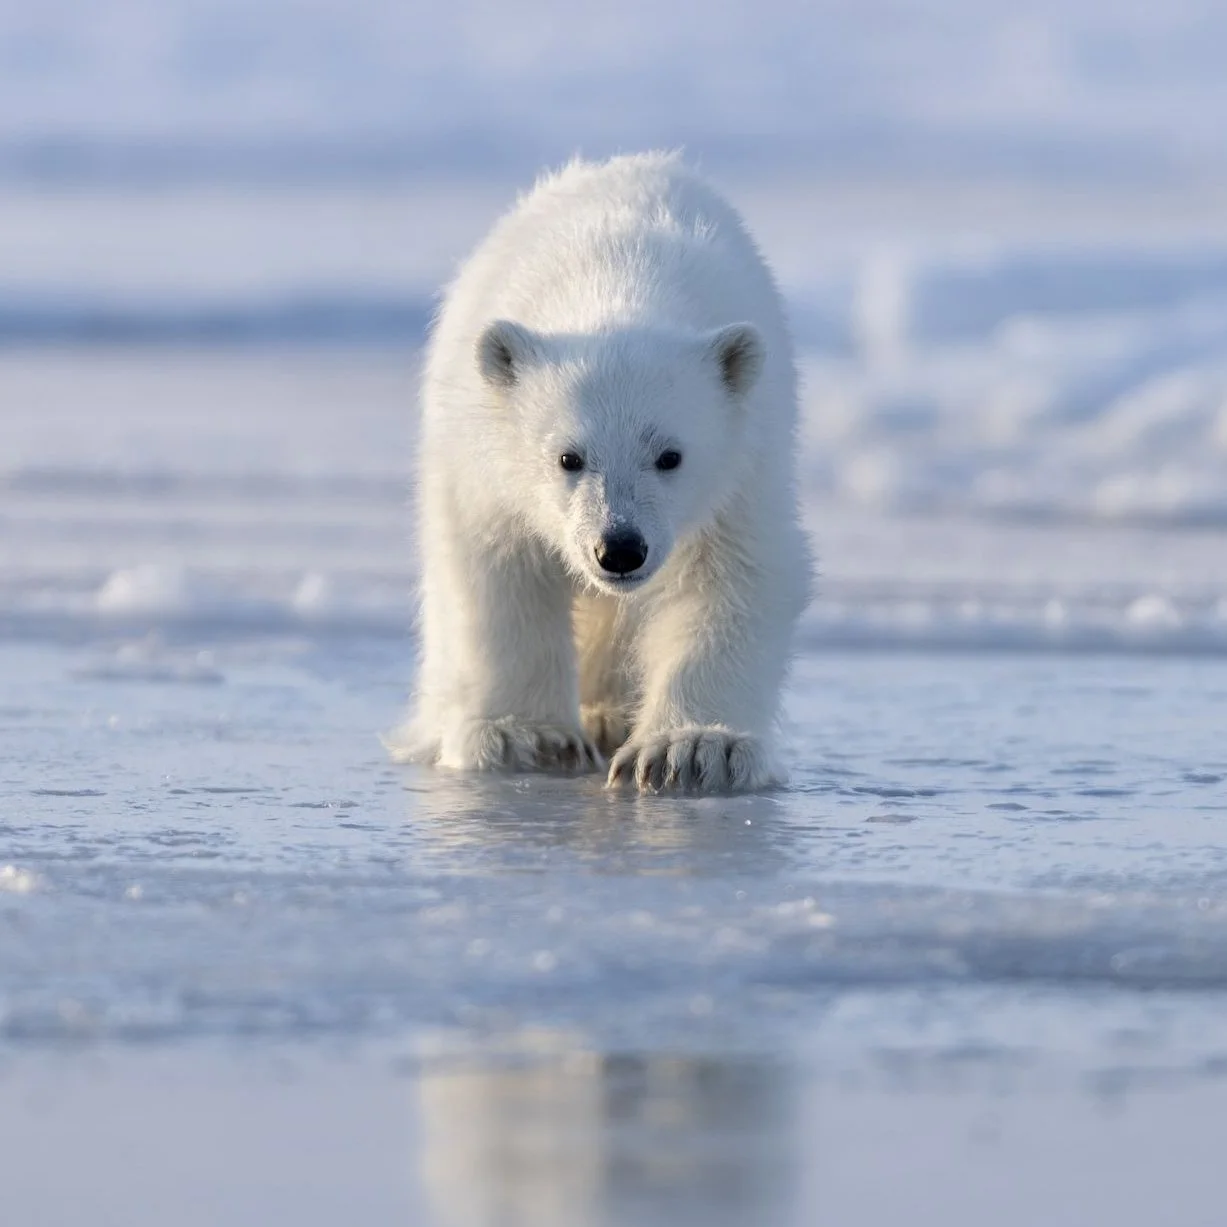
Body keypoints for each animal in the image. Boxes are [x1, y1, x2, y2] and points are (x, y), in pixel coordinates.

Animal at [388, 152, 812, 793]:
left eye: (670, 455)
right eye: (569, 456)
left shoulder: (746, 467)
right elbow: (499, 572)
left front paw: (693, 748)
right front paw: (527, 737)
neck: (619, 272)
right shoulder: (484, 462)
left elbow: (733, 578)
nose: (619, 549)